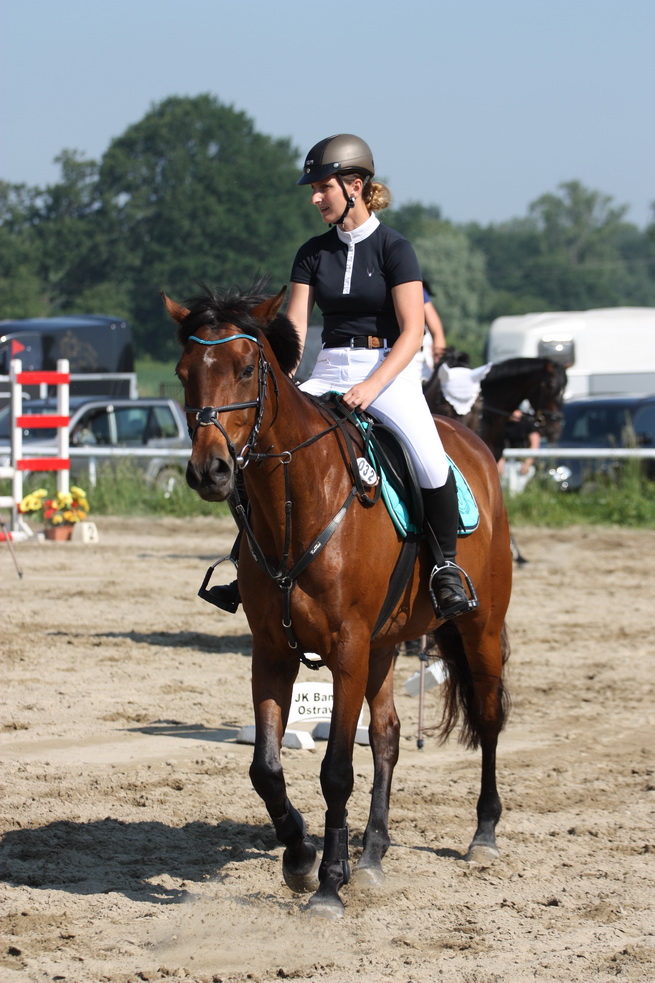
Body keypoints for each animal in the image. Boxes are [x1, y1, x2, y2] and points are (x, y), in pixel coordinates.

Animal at [164, 283, 513, 919]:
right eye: (183, 373)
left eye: (247, 369)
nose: (210, 471)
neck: (298, 503)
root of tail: (473, 444)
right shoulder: (272, 652)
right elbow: (266, 767)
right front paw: (302, 857)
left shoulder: (346, 650)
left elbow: (335, 772)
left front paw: (327, 884)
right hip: (385, 643)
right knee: (389, 735)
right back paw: (371, 855)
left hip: (479, 628)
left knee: (488, 715)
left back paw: (483, 833)